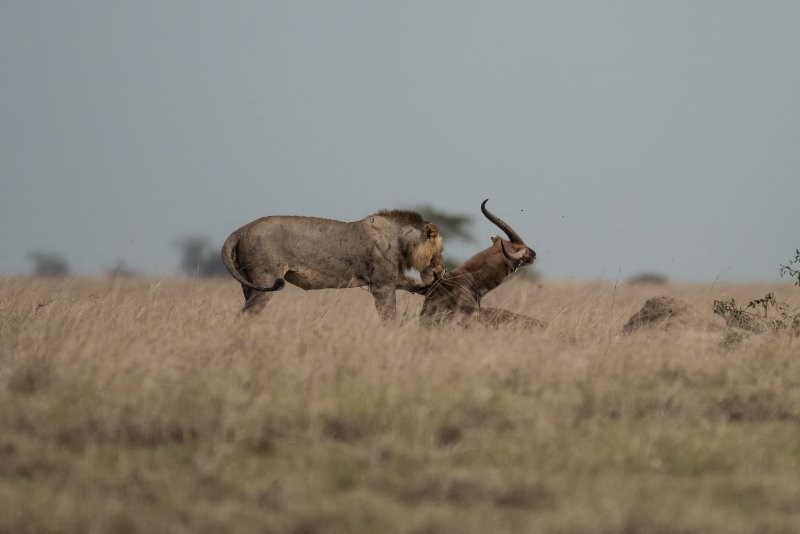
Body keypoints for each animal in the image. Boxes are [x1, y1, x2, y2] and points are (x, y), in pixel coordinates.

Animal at [220, 209, 444, 320]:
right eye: (441, 252)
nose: (442, 270)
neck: (402, 242)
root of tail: (241, 230)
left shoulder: (393, 278)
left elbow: (414, 285)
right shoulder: (382, 284)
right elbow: (389, 315)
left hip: (248, 283)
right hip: (264, 282)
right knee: (245, 314)